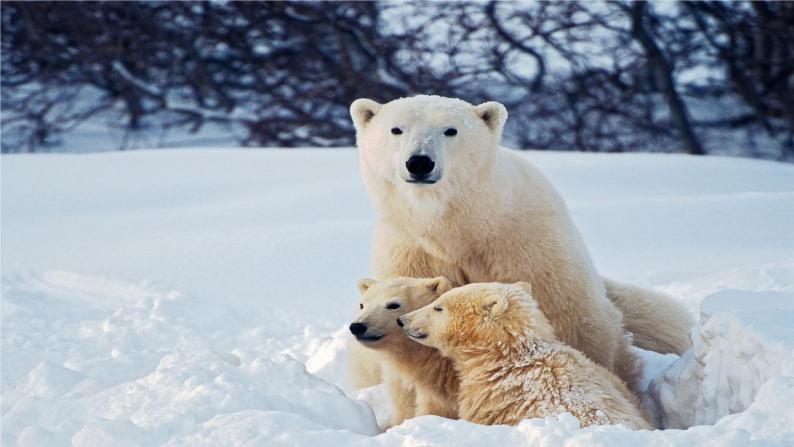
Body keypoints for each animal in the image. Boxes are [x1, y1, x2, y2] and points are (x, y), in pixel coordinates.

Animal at [350, 95, 688, 388]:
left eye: (450, 130)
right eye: (396, 129)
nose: (419, 162)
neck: (459, 226)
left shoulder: (523, 244)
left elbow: (567, 318)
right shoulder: (410, 251)